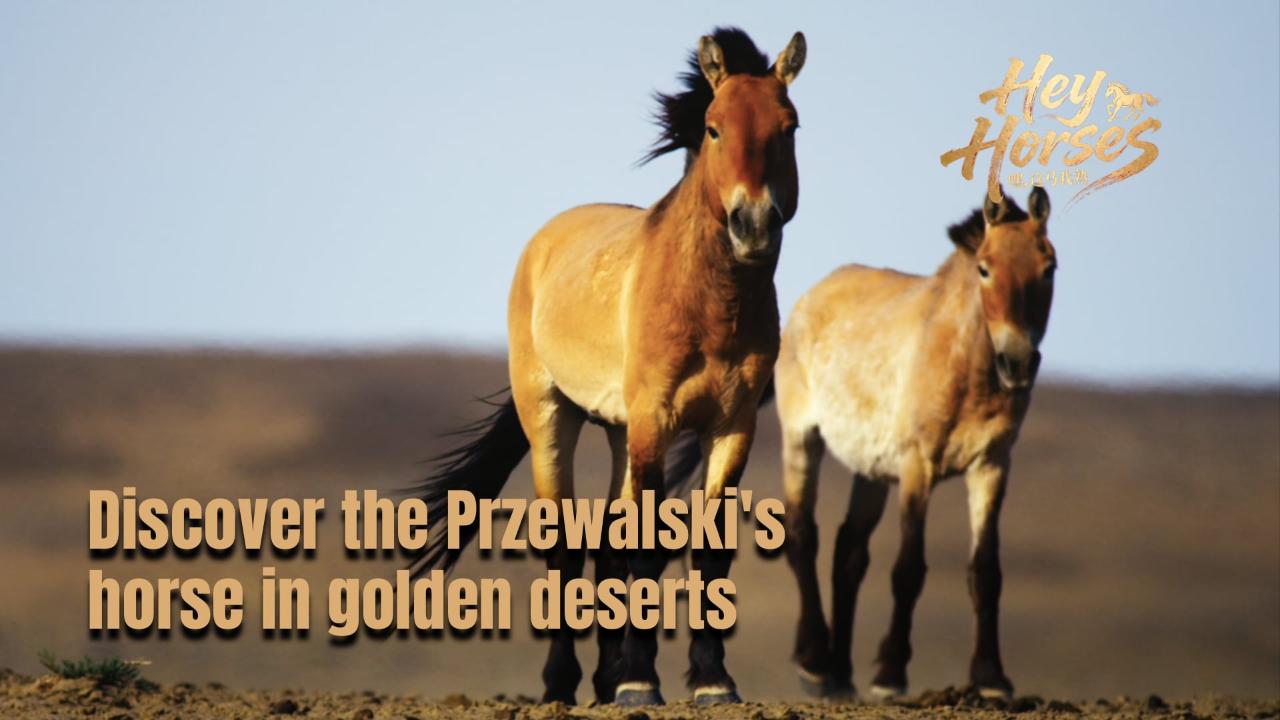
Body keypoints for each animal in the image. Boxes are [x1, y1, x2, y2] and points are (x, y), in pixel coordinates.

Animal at [412, 27, 807, 707]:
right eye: (713, 128)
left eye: (790, 126)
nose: (753, 225)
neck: (710, 304)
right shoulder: (655, 417)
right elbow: (645, 546)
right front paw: (642, 683)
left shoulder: (732, 427)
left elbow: (706, 552)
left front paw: (710, 680)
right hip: (553, 416)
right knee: (565, 545)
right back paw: (563, 684)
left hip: (618, 430)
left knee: (605, 545)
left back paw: (605, 679)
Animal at [774, 186, 1055, 701]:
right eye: (984, 268)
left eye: (1049, 267)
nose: (1018, 362)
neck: (966, 368)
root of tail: (811, 296)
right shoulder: (917, 467)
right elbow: (908, 569)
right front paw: (889, 673)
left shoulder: (991, 466)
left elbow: (985, 572)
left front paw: (991, 677)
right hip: (802, 440)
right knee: (803, 536)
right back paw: (816, 665)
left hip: (869, 470)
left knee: (848, 552)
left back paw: (841, 674)